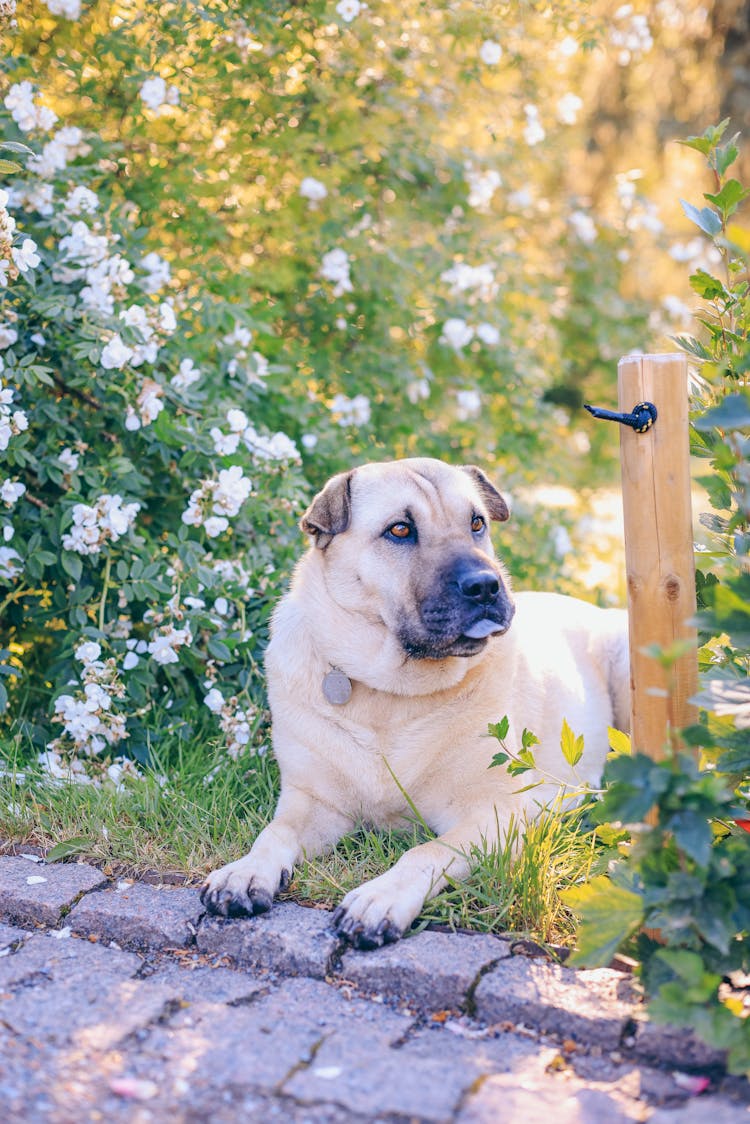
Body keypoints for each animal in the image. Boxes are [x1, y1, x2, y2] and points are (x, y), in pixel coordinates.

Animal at [199, 456, 629, 948]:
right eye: (400, 530)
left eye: (477, 523)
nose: (486, 586)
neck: (391, 693)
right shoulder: (314, 802)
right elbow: (273, 834)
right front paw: (244, 871)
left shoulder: (494, 814)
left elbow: (425, 851)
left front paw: (379, 898)